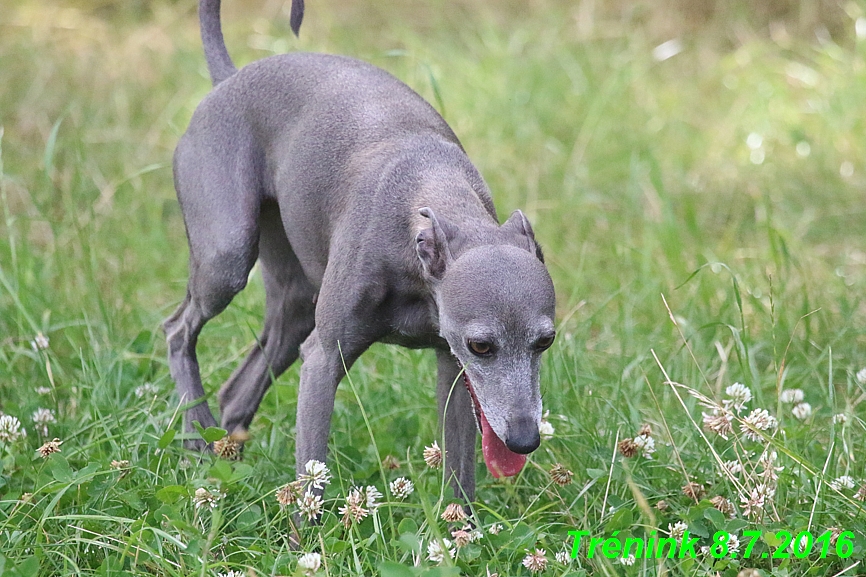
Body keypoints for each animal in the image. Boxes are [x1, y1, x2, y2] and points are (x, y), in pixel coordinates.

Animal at [162, 0, 552, 500]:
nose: (524, 441)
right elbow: (310, 480)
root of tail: (230, 77)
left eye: (545, 341)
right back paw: (196, 433)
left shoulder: (453, 371)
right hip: (225, 258)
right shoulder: (323, 359)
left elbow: (460, 476)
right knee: (178, 330)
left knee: (236, 391)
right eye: (481, 345)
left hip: (295, 306)